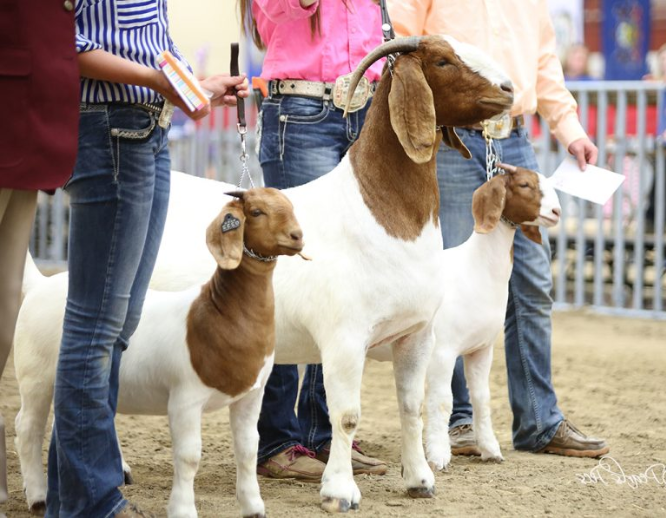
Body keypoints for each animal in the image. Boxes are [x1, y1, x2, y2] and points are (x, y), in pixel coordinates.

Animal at [17, 35, 514, 513]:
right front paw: (340, 491)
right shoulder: (344, 338)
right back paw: (49, 491)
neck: (378, 211)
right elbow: (347, 415)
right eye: (444, 61)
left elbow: (410, 407)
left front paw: (419, 481)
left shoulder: (415, 334)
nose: (509, 88)